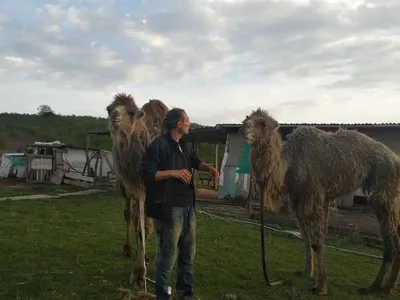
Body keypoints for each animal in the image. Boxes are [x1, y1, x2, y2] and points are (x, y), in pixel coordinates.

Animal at [105, 92, 168, 284]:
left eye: (131, 112)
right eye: (109, 108)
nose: (115, 115)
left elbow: (150, 226)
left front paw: (145, 267)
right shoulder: (134, 187)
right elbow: (139, 224)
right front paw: (138, 269)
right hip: (127, 189)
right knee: (129, 214)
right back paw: (129, 248)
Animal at [239, 108, 400, 296]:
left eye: (263, 123)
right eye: (247, 118)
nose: (243, 127)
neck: (289, 164)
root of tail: (396, 161)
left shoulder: (313, 198)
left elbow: (317, 242)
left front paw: (321, 286)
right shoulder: (297, 200)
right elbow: (305, 237)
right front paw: (306, 272)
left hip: (383, 192)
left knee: (390, 237)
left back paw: (376, 286)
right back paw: (386, 285)